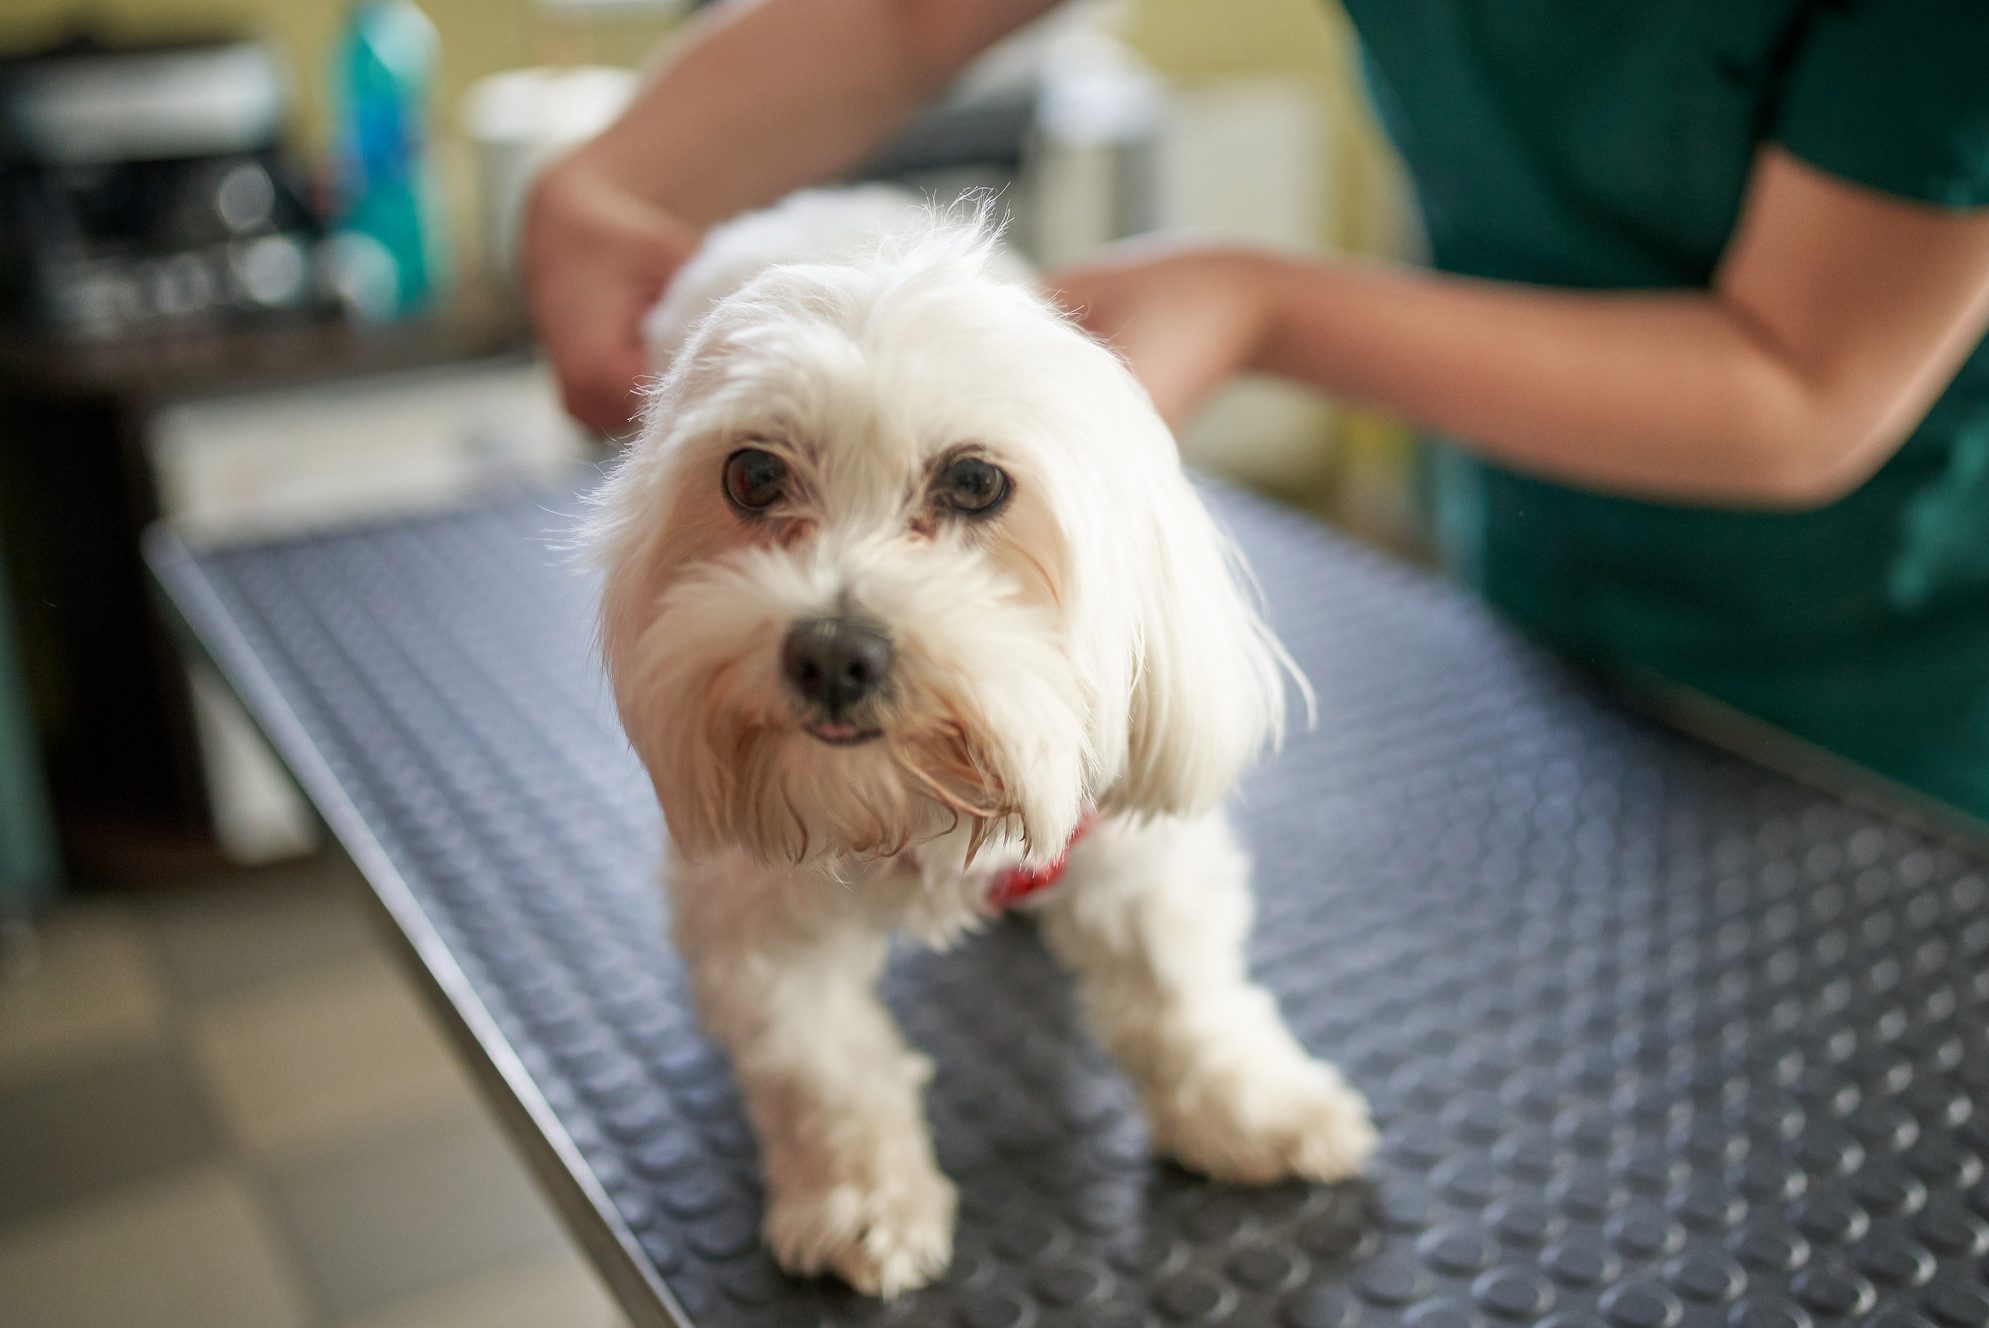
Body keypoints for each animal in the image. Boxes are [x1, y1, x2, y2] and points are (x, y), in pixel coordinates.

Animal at [584, 191, 1368, 1288]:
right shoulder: (755, 909)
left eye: (973, 483)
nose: (833, 652)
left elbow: (1184, 991)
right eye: (753, 474)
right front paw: (859, 1197)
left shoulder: (1133, 845)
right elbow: (822, 1064)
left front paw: (1251, 1108)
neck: (910, 804)